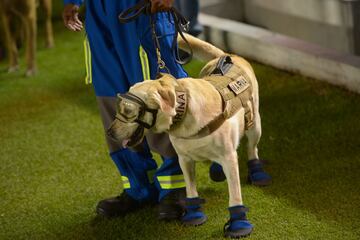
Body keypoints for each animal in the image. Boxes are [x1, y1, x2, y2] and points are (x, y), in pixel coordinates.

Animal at [105, 33, 268, 238]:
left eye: (128, 111)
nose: (109, 132)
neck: (184, 113)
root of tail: (227, 55)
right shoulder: (184, 160)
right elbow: (190, 190)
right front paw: (194, 215)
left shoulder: (230, 159)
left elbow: (235, 195)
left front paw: (239, 224)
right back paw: (216, 169)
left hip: (255, 125)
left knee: (252, 148)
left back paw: (257, 172)